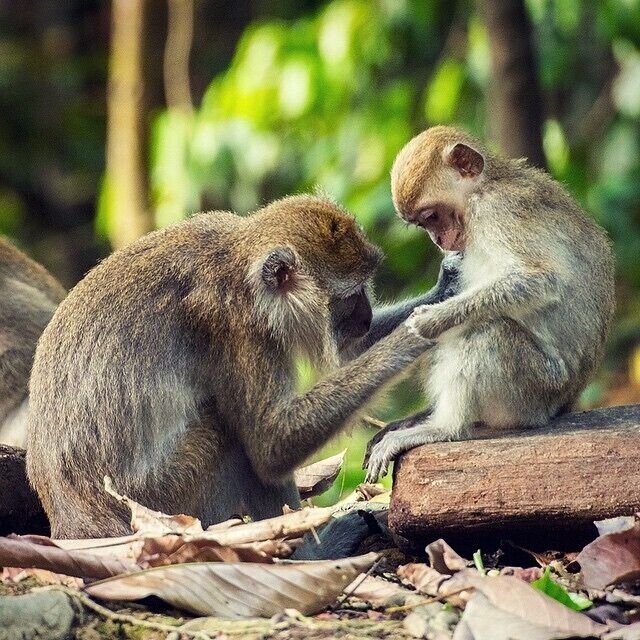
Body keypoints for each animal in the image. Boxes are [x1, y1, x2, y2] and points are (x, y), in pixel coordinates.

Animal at [26, 194, 461, 539]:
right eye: (352, 295)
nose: (367, 317)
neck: (238, 262)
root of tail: (72, 520)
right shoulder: (235, 324)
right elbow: (271, 444)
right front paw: (412, 336)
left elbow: (351, 353)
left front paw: (446, 293)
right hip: (157, 502)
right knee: (229, 434)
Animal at [364, 125, 615, 482]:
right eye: (423, 224)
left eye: (431, 216)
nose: (438, 240)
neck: (485, 187)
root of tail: (563, 403)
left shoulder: (497, 210)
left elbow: (541, 279)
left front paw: (432, 319)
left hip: (534, 390)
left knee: (487, 330)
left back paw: (446, 428)